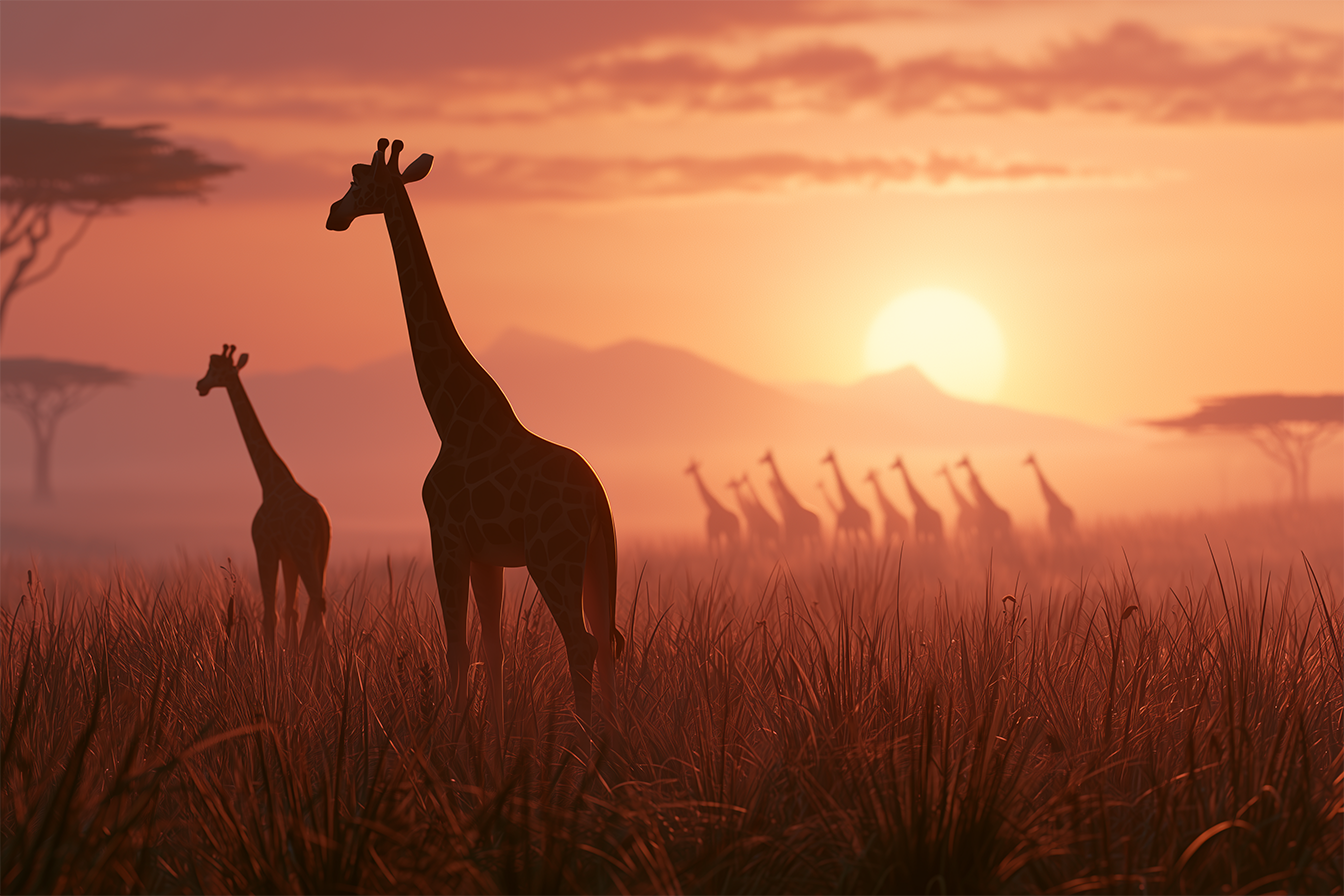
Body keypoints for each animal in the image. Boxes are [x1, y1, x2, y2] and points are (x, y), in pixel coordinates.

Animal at [196, 345, 330, 650]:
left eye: (215, 369)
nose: (200, 385)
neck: (268, 481)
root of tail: (321, 519)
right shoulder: (287, 554)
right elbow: (290, 609)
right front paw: (289, 652)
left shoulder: (264, 546)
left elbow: (271, 612)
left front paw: (271, 655)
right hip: (321, 553)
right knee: (318, 601)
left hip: (305, 551)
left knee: (317, 599)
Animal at [327, 139, 622, 725]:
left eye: (359, 182)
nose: (333, 215)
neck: (450, 416)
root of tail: (597, 497)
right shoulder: (486, 552)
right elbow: (493, 646)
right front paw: (494, 731)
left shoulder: (446, 536)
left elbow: (458, 646)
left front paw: (454, 729)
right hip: (597, 557)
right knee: (607, 638)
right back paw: (614, 733)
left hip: (553, 556)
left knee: (582, 642)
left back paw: (584, 737)